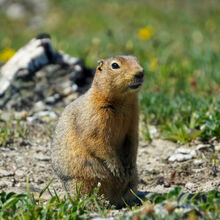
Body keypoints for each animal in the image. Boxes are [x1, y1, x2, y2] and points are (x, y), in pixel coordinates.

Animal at [51, 55, 144, 208]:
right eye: (115, 65)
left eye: (136, 60)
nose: (140, 72)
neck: (122, 102)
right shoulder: (96, 116)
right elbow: (96, 139)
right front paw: (117, 167)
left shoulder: (134, 116)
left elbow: (133, 139)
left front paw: (130, 164)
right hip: (82, 181)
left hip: (133, 181)